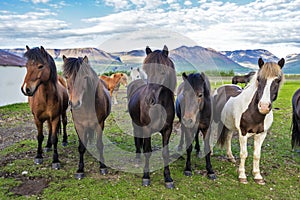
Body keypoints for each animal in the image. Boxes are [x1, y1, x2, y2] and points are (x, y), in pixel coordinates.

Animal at [127, 45, 178, 188]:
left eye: (163, 72)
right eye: (147, 71)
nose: (149, 100)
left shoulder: (167, 129)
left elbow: (165, 153)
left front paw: (168, 178)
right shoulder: (146, 128)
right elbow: (147, 150)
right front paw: (146, 176)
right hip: (136, 124)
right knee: (137, 139)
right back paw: (137, 159)